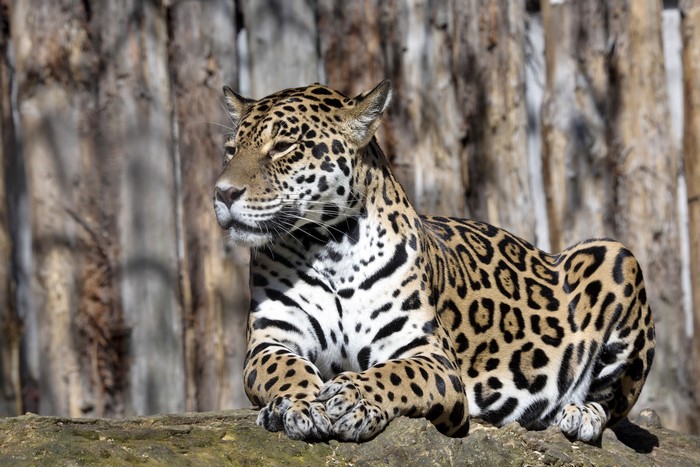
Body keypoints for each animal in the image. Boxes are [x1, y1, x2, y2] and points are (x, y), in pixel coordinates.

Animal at [213, 80, 655, 443]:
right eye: (231, 150)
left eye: (283, 147)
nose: (223, 193)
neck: (329, 249)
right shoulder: (270, 341)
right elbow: (285, 369)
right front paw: (300, 404)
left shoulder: (432, 357)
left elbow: (396, 374)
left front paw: (353, 397)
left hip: (616, 255)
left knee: (613, 407)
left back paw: (580, 413)